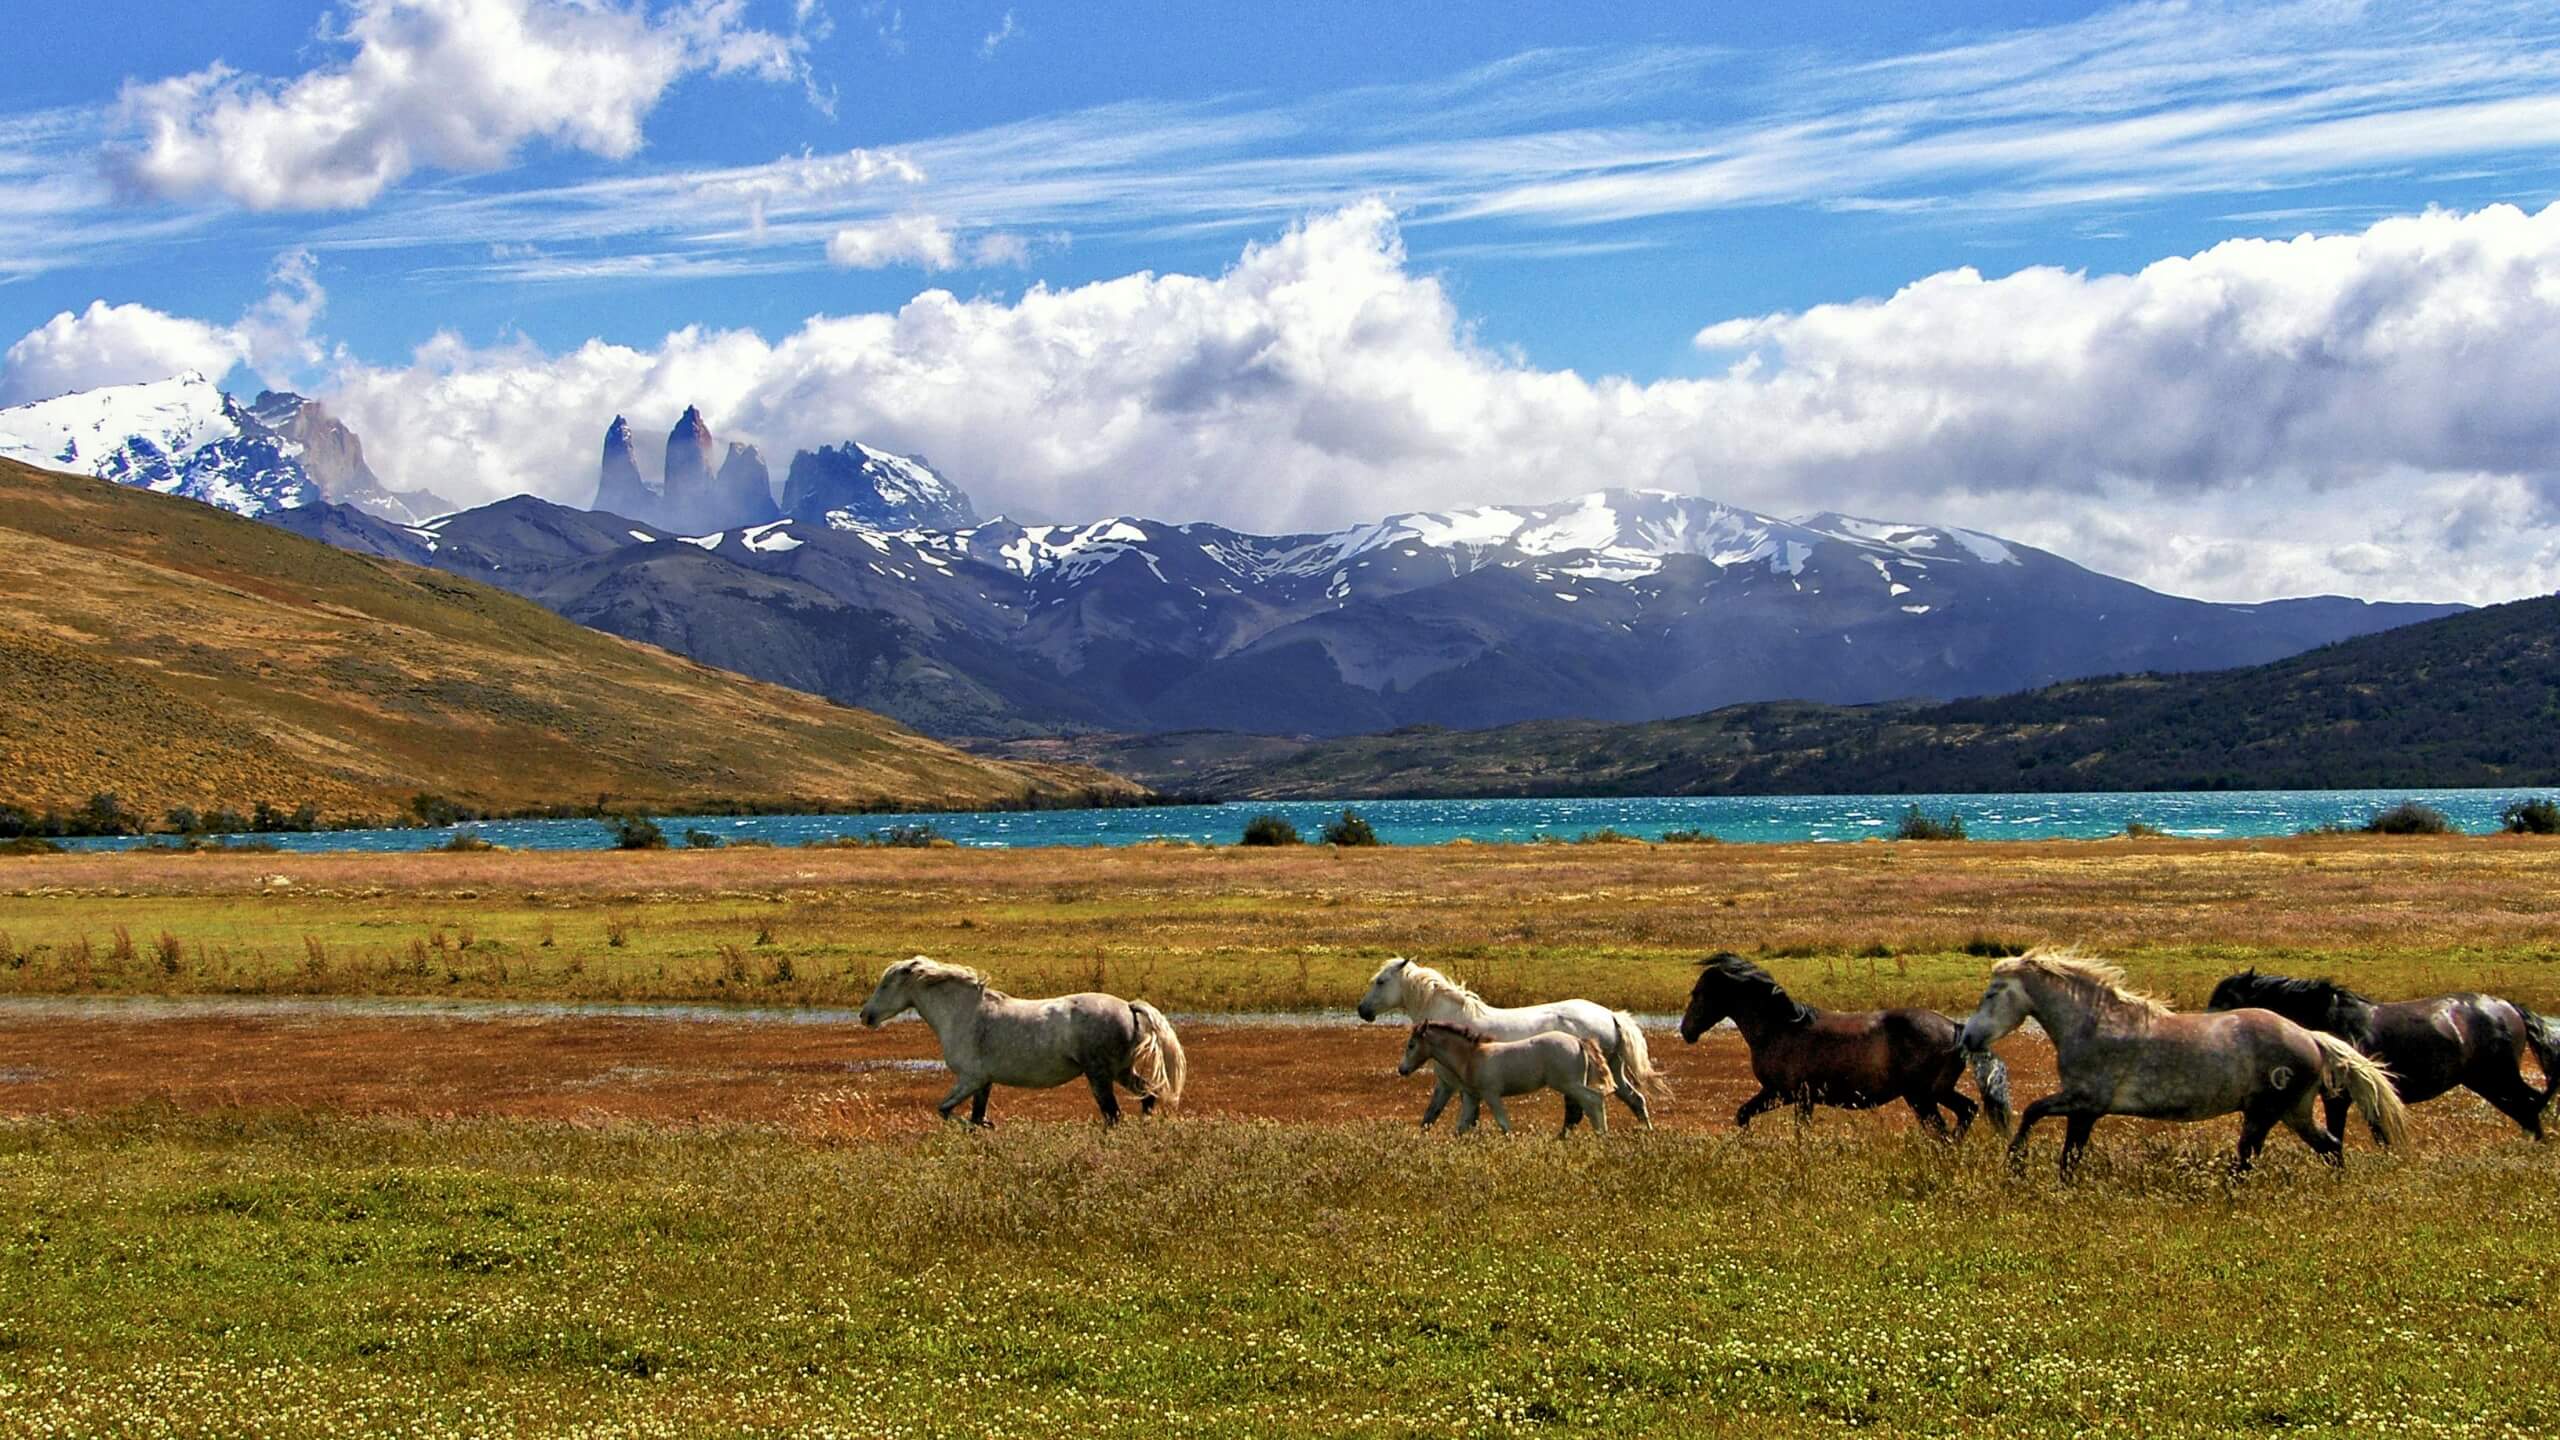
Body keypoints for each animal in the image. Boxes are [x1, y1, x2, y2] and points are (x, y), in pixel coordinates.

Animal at [857, 956, 1186, 1127]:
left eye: (885, 984)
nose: (865, 1016)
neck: (965, 1014)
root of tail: (1128, 1006)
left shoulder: (970, 1078)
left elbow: (946, 1111)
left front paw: (988, 1126)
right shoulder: (983, 1083)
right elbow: (973, 1117)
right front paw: (986, 1128)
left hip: (1100, 1075)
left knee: (1114, 1114)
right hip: (1121, 1071)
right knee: (1148, 1095)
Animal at [1397, 1022, 1615, 1137]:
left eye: (1411, 1045)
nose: (1402, 1069)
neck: (1471, 1058)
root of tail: (1578, 1040)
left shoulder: (1491, 1095)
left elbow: (1504, 1125)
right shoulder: (1472, 1096)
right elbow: (1461, 1127)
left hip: (1568, 1084)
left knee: (1594, 1099)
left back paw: (1602, 1135)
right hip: (1573, 1084)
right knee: (1586, 1106)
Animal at [1679, 953, 2010, 1139]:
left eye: (1698, 993)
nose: (1686, 1031)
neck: (1780, 1029)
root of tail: (1956, 1029)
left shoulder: (1790, 1095)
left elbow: (1794, 1131)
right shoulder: (1783, 1095)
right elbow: (1743, 1115)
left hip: (1922, 1097)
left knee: (1943, 1129)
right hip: (1937, 1092)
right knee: (1967, 1110)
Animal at [1957, 948, 2408, 1179]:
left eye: (1992, 993)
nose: (1968, 1037)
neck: (2095, 1024)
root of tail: (2310, 1036)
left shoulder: (2084, 1102)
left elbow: (2037, 1117)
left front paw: (2016, 1164)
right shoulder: (2084, 1109)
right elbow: (2066, 1151)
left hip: (2264, 1113)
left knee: (2249, 1159)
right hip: (2293, 1112)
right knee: (2329, 1146)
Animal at [2207, 969, 2560, 1142]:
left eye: (2228, 999)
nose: (2207, 1030)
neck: (2330, 1021)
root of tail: (2508, 1008)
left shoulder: (2340, 1097)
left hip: (2498, 1077)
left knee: (2529, 1104)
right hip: (2485, 1082)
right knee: (2527, 1107)